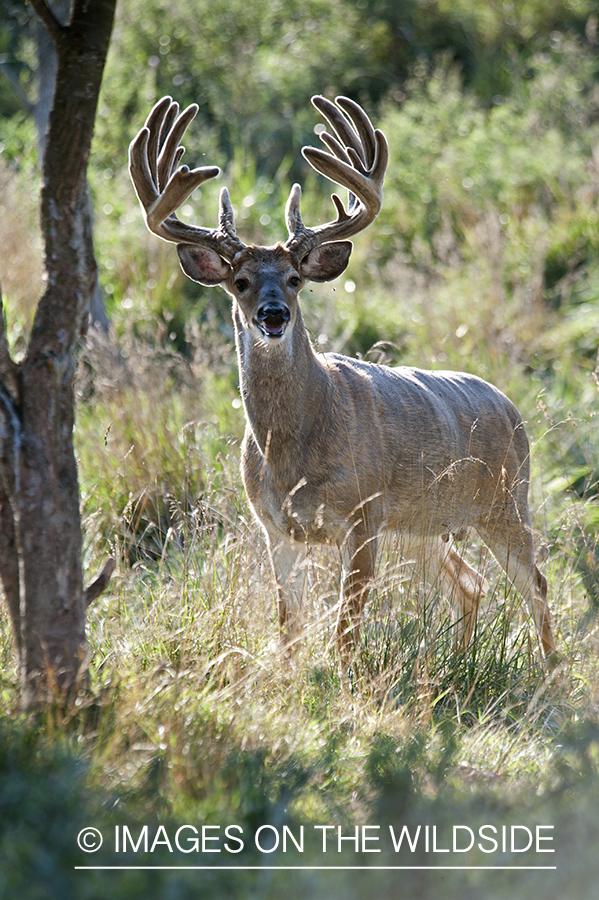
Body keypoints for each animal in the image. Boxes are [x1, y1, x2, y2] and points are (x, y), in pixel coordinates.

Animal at [129, 96, 556, 660]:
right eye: (240, 281)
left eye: (295, 278)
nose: (273, 314)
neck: (294, 451)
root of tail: (512, 408)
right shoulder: (276, 528)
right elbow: (288, 628)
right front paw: (289, 676)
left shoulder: (362, 516)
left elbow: (346, 633)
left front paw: (342, 679)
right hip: (423, 529)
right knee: (471, 584)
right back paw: (464, 659)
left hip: (506, 502)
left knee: (536, 584)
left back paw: (552, 672)